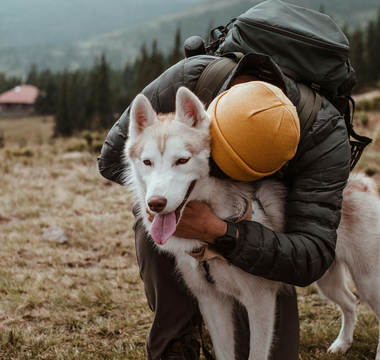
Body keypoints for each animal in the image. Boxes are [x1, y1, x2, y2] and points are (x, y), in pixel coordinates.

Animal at [125, 87, 380, 360]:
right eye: (147, 162)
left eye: (182, 160)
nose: (155, 203)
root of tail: (362, 182)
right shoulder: (211, 302)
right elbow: (224, 352)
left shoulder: (260, 301)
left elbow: (256, 352)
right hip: (325, 280)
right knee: (350, 301)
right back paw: (342, 344)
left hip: (368, 282)